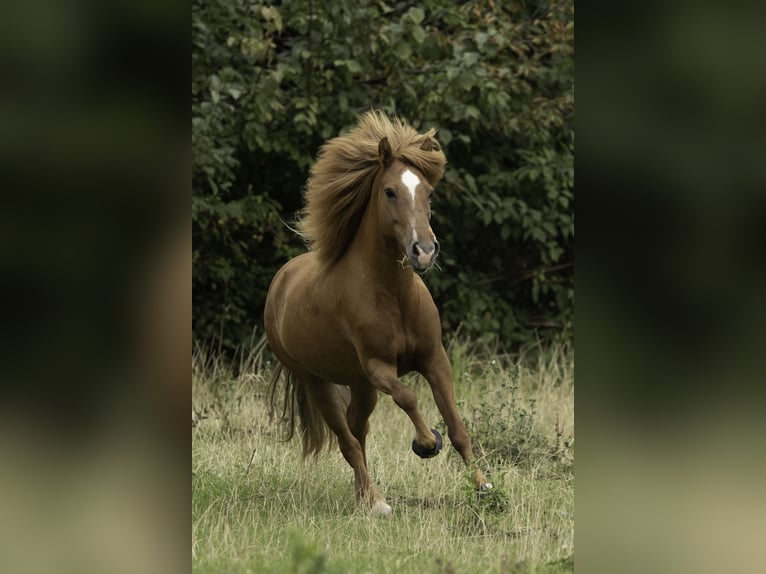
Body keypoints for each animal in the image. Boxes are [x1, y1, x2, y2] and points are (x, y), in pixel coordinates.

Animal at [264, 110, 491, 515]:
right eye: (389, 191)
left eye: (428, 192)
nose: (424, 252)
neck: (394, 294)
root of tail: (281, 281)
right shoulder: (379, 367)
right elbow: (408, 397)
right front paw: (426, 443)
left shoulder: (434, 359)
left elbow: (457, 426)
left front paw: (483, 486)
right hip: (318, 382)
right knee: (347, 440)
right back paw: (376, 502)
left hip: (359, 384)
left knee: (358, 431)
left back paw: (363, 496)